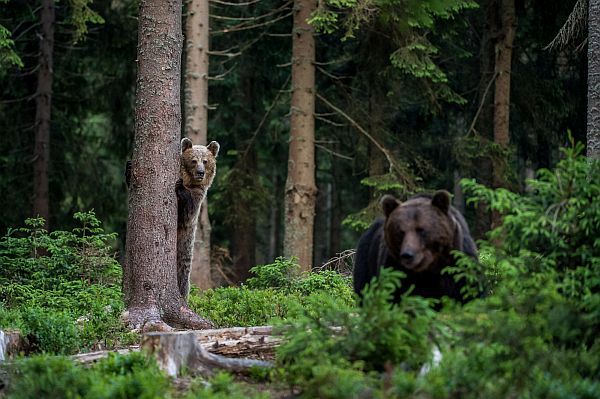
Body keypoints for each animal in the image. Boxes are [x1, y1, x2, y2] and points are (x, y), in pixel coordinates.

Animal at [177, 138, 219, 300]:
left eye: (205, 161)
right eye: (194, 160)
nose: (200, 172)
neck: (190, 181)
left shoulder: (198, 195)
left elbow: (187, 213)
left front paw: (180, 187)